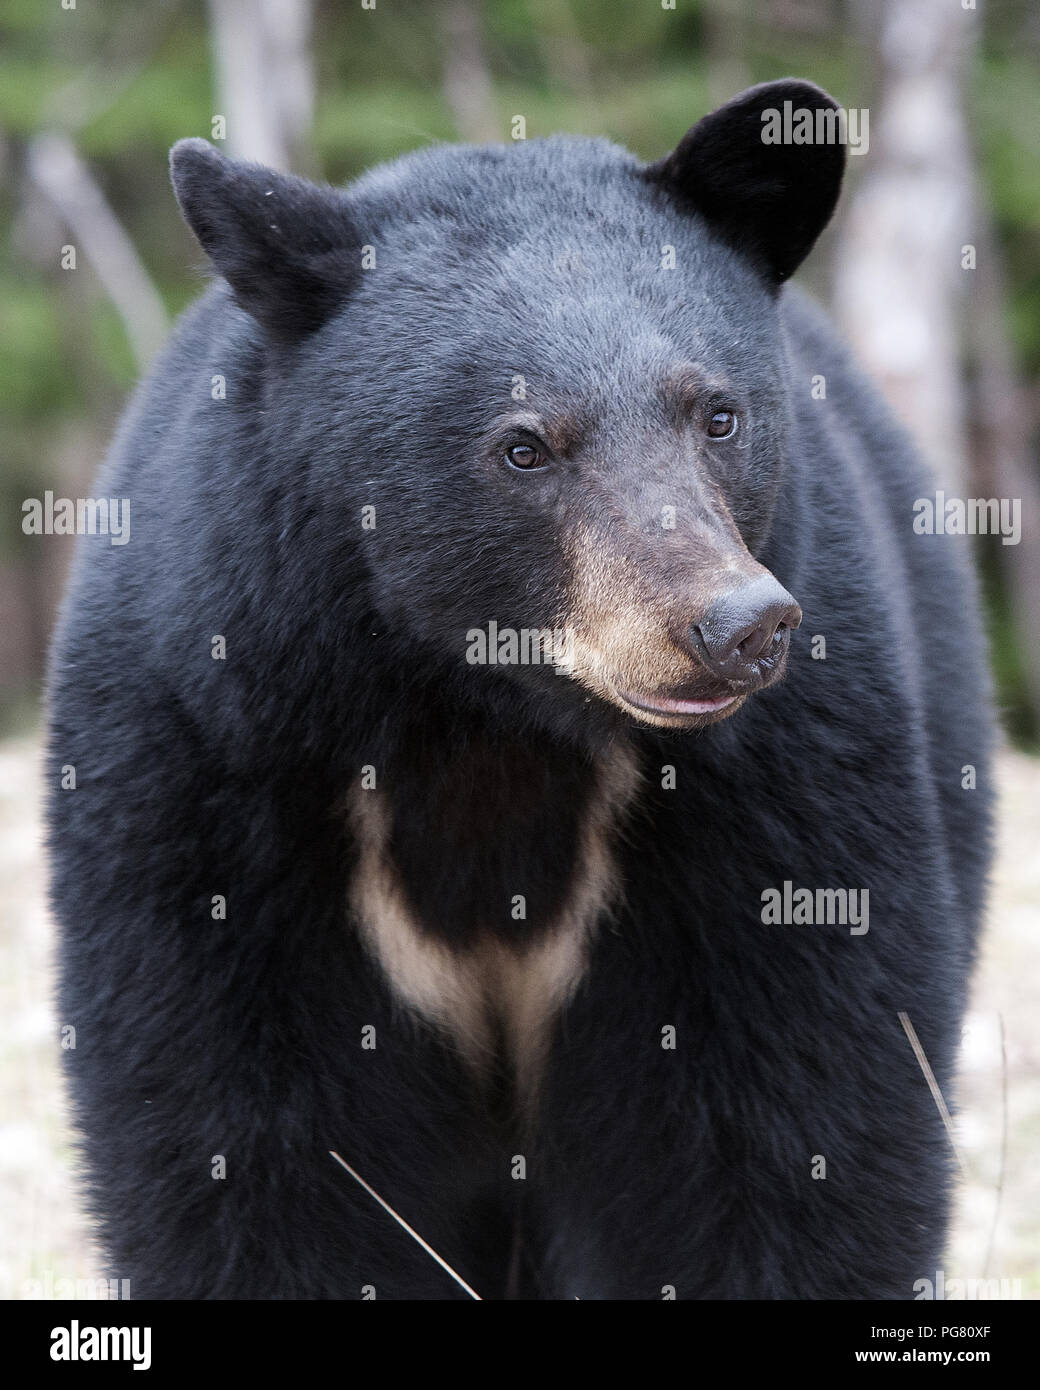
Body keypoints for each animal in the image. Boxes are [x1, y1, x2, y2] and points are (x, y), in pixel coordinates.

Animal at [46, 81, 989, 1295]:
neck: (484, 718)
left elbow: (789, 1106)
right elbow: (241, 1129)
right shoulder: (216, 746)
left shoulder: (780, 778)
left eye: (716, 413)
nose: (738, 626)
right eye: (524, 447)